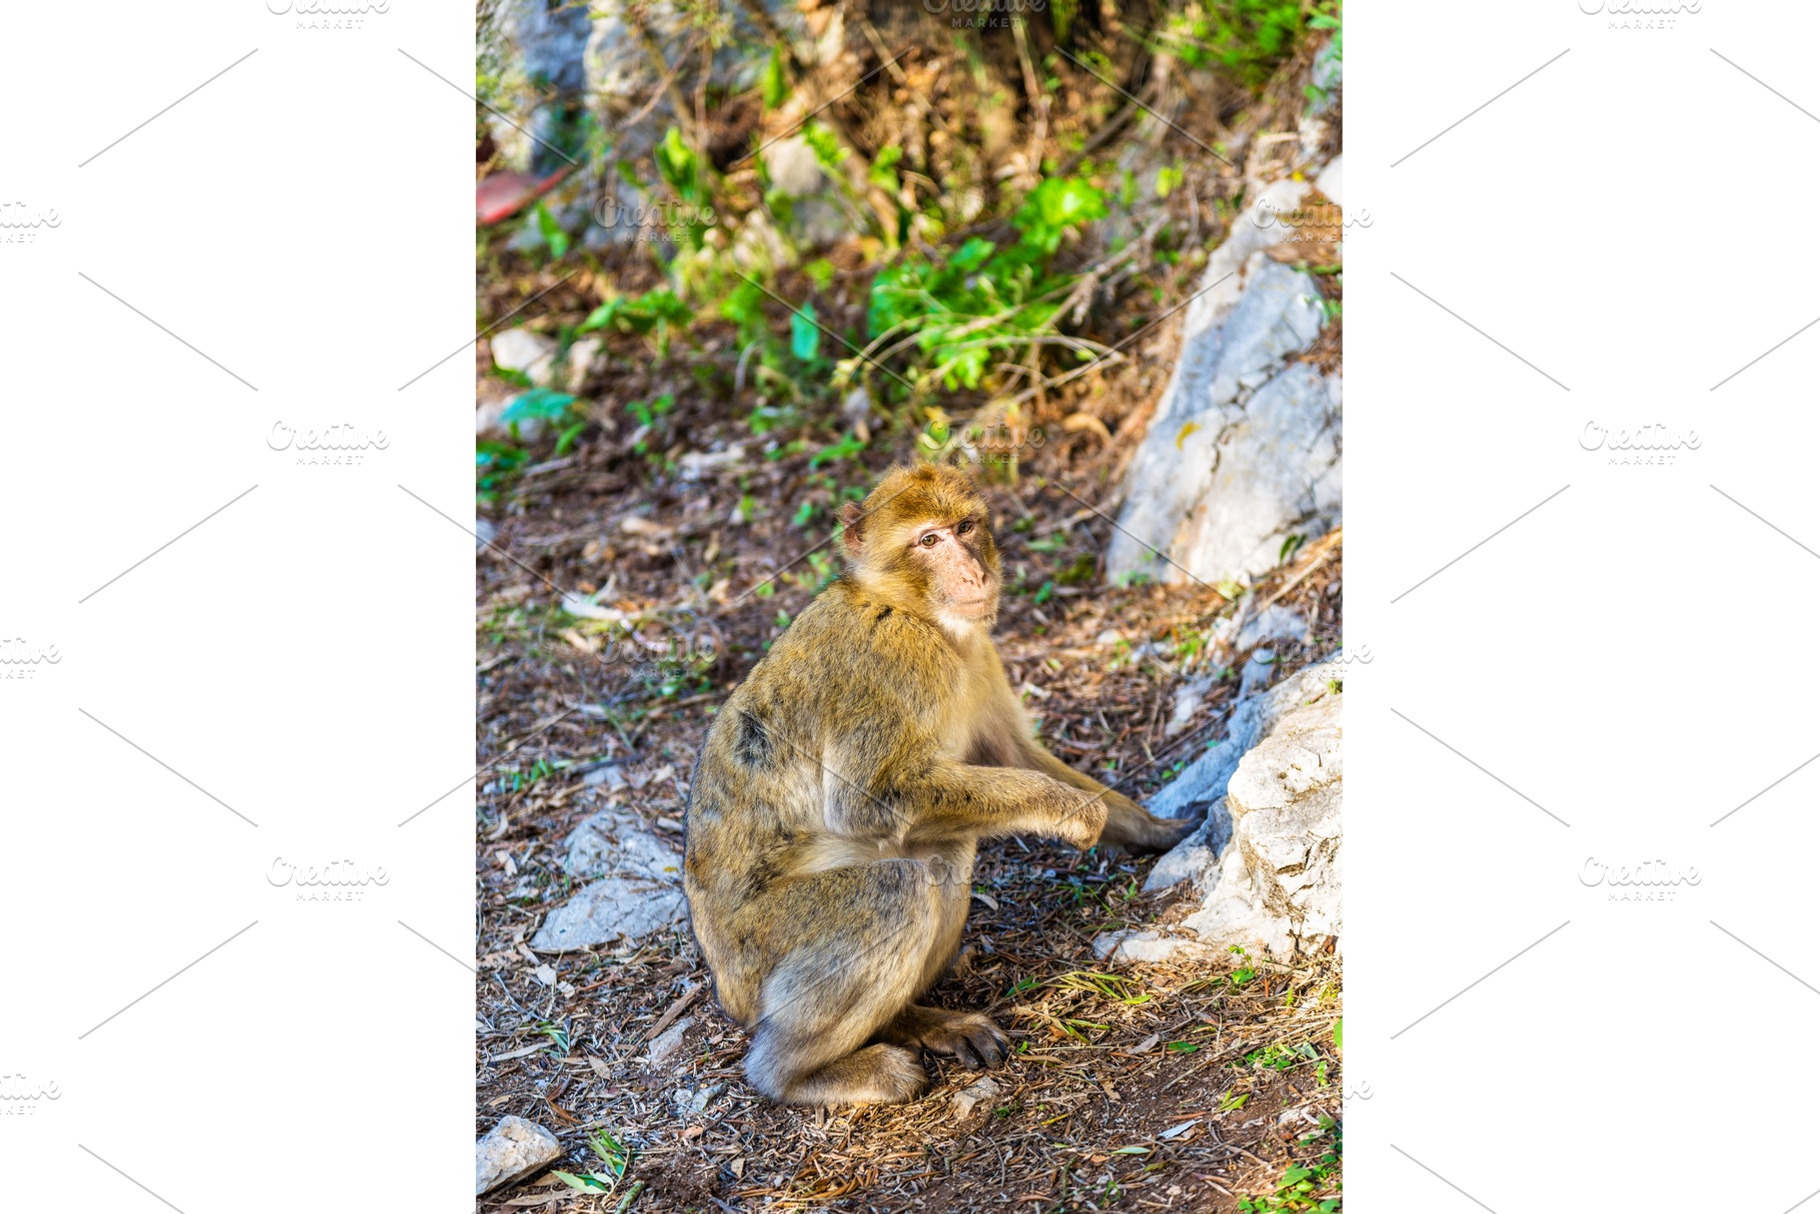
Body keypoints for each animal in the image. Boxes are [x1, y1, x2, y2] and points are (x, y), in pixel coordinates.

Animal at [681, 464, 1201, 1106]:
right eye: (928, 541)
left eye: (965, 527)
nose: (973, 572)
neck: (915, 613)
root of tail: (724, 985)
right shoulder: (887, 659)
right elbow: (863, 802)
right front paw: (1070, 809)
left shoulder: (980, 656)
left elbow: (1015, 754)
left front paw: (1156, 829)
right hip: (762, 946)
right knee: (899, 888)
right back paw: (802, 1074)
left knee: (944, 854)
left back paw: (915, 1021)